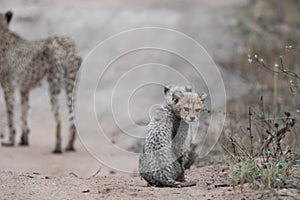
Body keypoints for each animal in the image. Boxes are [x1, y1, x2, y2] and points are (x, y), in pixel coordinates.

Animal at [0, 10, 81, 153]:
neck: (2, 30)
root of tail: (66, 41)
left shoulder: (8, 86)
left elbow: (11, 115)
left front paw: (10, 141)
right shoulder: (24, 88)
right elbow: (25, 112)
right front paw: (24, 140)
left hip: (53, 86)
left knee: (58, 119)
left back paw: (57, 148)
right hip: (71, 87)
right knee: (73, 119)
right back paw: (69, 146)